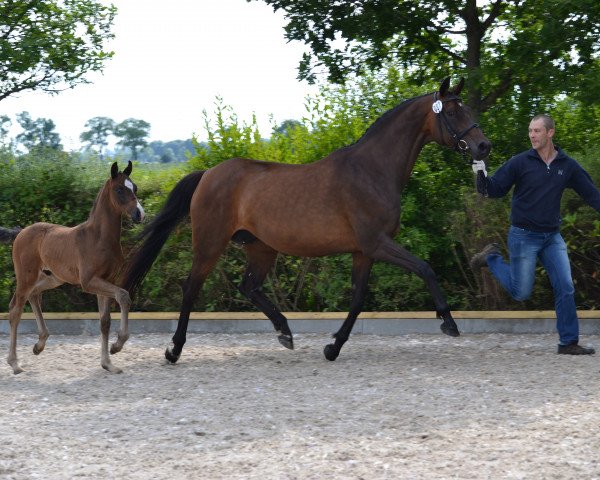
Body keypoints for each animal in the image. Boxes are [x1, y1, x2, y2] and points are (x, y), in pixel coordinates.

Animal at [1, 161, 144, 376]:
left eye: (134, 187)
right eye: (119, 189)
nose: (139, 214)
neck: (99, 237)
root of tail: (21, 232)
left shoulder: (106, 280)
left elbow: (104, 321)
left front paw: (108, 363)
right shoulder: (89, 282)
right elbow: (123, 295)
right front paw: (117, 345)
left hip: (52, 278)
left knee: (33, 296)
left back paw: (39, 345)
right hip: (27, 277)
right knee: (15, 310)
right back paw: (15, 363)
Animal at [123, 78, 492, 364]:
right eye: (454, 112)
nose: (483, 146)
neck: (372, 170)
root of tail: (207, 174)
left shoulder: (364, 252)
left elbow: (358, 299)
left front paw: (332, 348)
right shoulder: (377, 243)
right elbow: (425, 268)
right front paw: (448, 322)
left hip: (261, 248)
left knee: (249, 286)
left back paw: (285, 332)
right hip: (210, 244)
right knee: (191, 288)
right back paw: (174, 350)